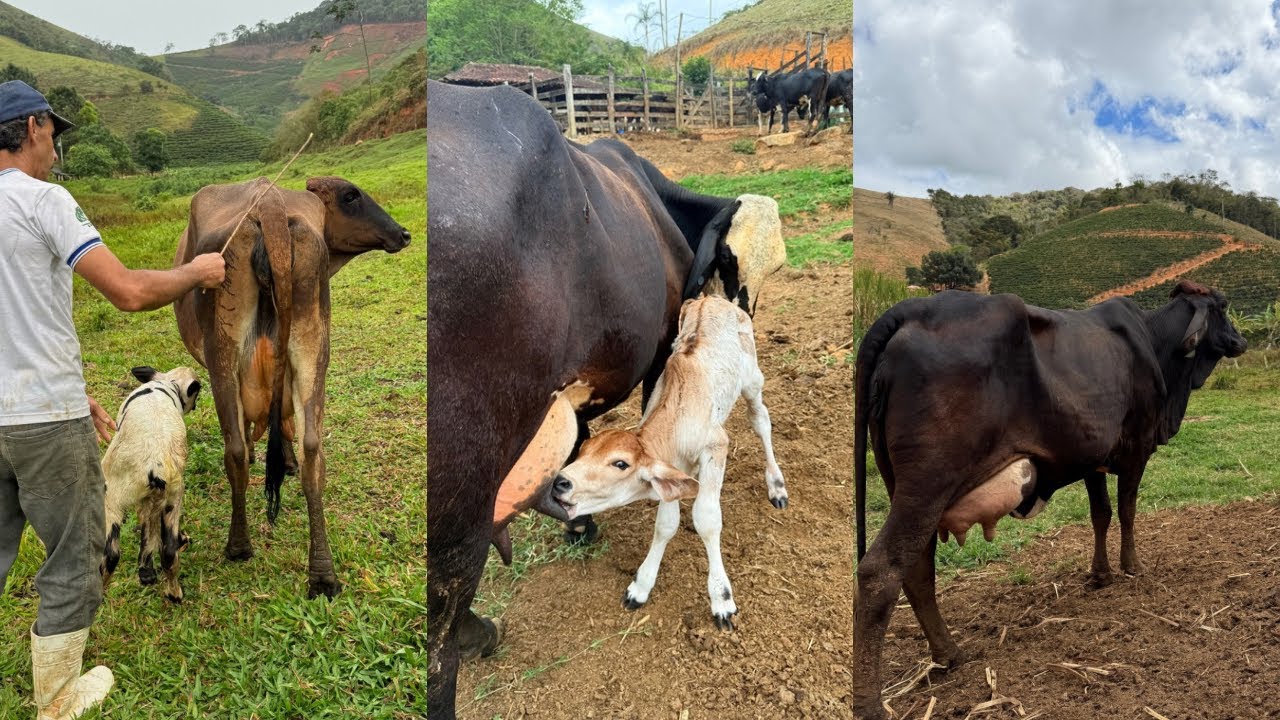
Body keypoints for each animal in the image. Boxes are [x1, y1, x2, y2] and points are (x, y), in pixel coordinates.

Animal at [172, 176, 410, 600]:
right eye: (351, 196)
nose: (403, 233)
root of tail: (269, 204)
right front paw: (285, 460)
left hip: (223, 359)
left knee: (234, 450)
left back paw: (239, 546)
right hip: (314, 350)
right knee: (313, 450)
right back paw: (323, 575)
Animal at [551, 296, 787, 630]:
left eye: (620, 464)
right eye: (582, 450)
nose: (560, 482)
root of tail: (711, 298)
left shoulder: (716, 445)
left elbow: (707, 518)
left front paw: (722, 598)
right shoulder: (671, 469)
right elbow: (665, 524)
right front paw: (640, 585)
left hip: (752, 378)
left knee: (761, 421)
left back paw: (776, 485)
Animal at [852, 281, 1247, 719]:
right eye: (1222, 307)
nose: (1241, 340)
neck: (1157, 343)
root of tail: (909, 310)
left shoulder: (1093, 458)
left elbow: (1101, 514)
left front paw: (1100, 574)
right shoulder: (1136, 448)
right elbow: (1127, 510)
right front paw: (1132, 566)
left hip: (906, 488)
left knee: (917, 570)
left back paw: (948, 653)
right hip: (927, 486)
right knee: (879, 572)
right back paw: (871, 704)